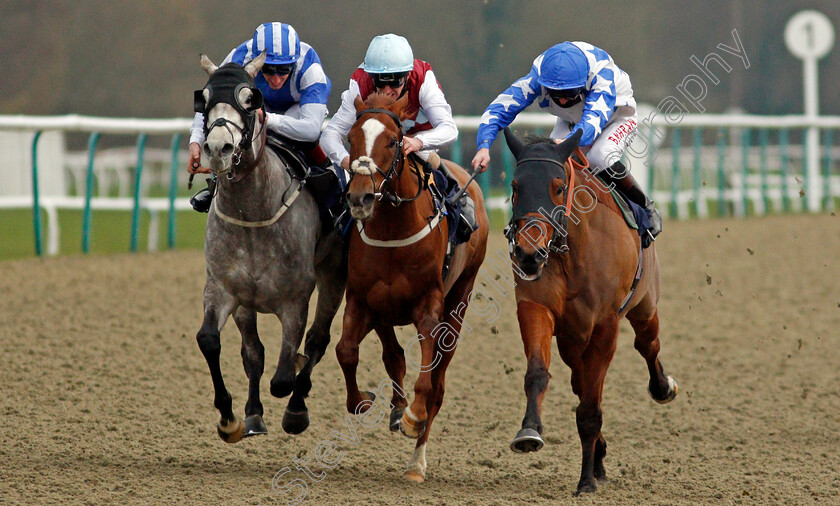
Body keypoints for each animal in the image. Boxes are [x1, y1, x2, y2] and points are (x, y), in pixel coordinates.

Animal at [193, 52, 344, 442]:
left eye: (250, 101)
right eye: (205, 99)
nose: (218, 148)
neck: (253, 215)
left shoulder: (295, 299)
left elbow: (285, 376)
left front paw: (293, 405)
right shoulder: (224, 288)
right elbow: (214, 342)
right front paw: (232, 418)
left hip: (335, 275)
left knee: (317, 341)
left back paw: (296, 409)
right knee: (255, 352)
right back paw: (254, 414)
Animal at [334, 91, 488, 482]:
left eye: (392, 141)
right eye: (351, 139)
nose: (360, 198)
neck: (393, 228)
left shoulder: (428, 306)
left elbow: (427, 379)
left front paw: (412, 417)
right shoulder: (364, 300)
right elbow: (347, 351)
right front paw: (365, 401)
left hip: (460, 298)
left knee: (439, 384)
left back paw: (416, 460)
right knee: (393, 356)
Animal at [502, 128, 680, 496]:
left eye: (558, 187)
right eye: (515, 187)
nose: (528, 253)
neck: (574, 252)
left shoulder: (605, 326)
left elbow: (589, 411)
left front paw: (585, 481)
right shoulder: (537, 307)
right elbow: (538, 373)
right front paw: (529, 431)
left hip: (645, 305)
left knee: (648, 345)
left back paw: (662, 387)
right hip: (572, 340)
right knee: (580, 381)